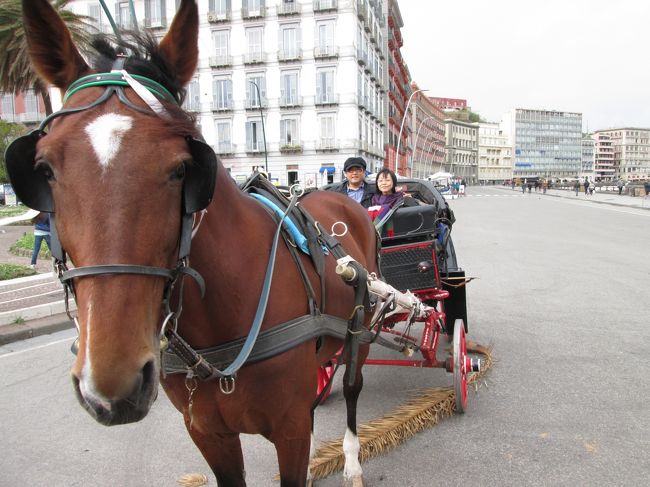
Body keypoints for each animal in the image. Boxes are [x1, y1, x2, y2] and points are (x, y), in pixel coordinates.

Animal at [15, 0, 378, 487]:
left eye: (183, 168)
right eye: (43, 170)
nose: (112, 382)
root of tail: (342, 197)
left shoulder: (291, 429)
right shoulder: (207, 432)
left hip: (362, 327)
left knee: (355, 383)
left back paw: (353, 458)